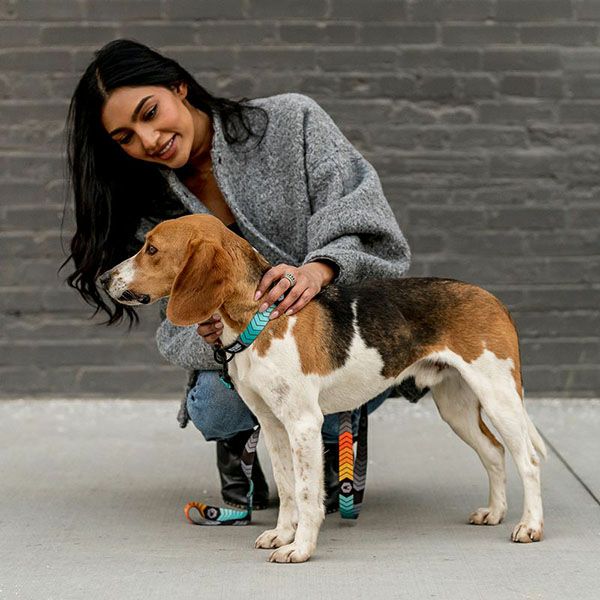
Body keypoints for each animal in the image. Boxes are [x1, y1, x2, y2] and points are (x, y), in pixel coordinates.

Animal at [99, 213, 546, 563]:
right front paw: (282, 534)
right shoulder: (272, 426)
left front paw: (300, 548)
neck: (260, 317)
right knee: (494, 453)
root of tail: (493, 299)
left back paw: (530, 526)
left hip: (499, 396)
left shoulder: (303, 424)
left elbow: (307, 494)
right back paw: (495, 512)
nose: (104, 279)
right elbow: (287, 489)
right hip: (457, 406)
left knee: (527, 461)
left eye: (152, 249)